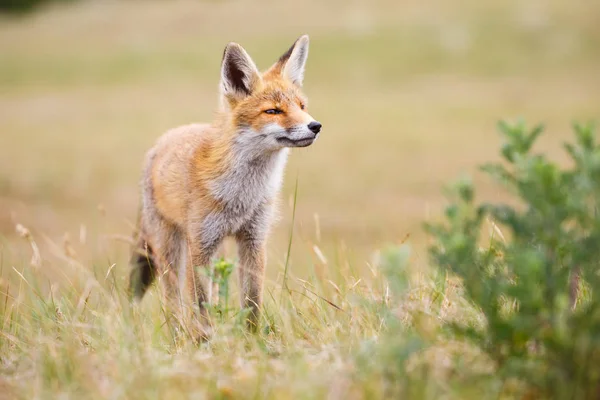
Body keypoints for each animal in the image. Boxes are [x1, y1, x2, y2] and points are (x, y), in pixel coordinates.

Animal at [129, 35, 322, 334]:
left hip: (219, 247)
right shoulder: (200, 245)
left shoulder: (253, 239)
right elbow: (200, 305)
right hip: (171, 248)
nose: (315, 126)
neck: (242, 196)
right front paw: (204, 340)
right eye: (273, 111)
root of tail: (164, 139)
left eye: (302, 107)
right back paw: (176, 333)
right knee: (172, 299)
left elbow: (252, 302)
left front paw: (252, 339)